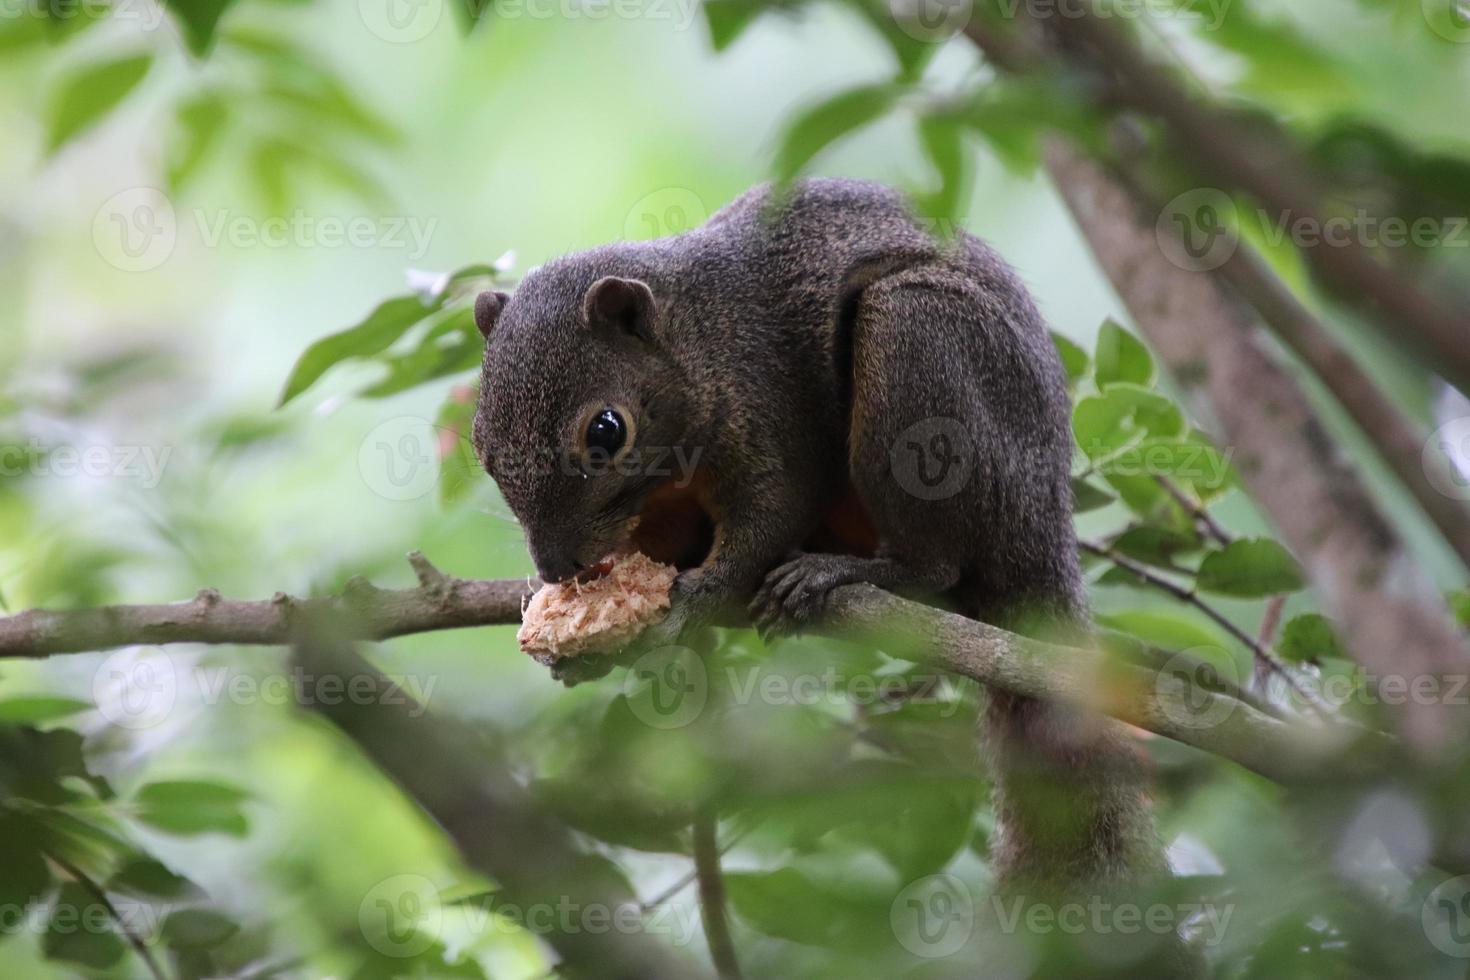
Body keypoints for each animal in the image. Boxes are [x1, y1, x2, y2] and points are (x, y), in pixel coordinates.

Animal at [473, 182, 1170, 899]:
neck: (698, 334)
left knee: (937, 565)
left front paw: (694, 597)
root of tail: (1046, 525)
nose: (557, 566)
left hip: (920, 341)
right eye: (482, 446)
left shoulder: (767, 408)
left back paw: (838, 575)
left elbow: (770, 514)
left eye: (607, 430)